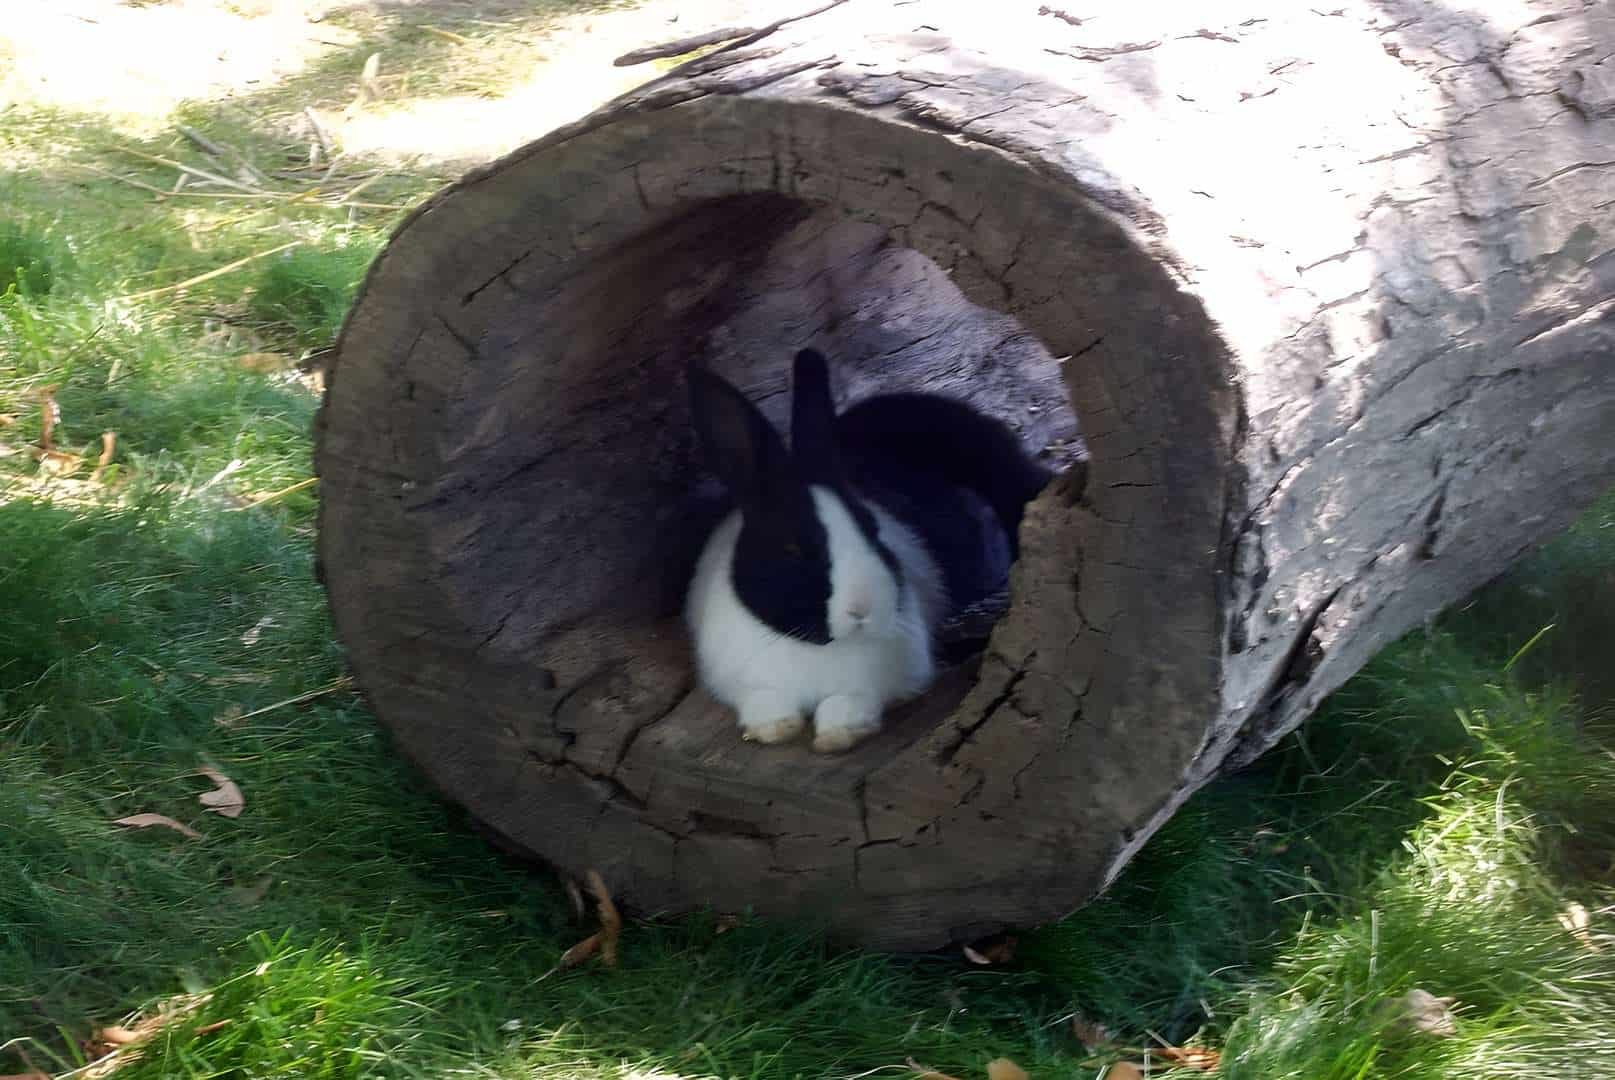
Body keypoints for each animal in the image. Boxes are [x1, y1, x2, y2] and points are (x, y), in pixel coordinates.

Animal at [684, 345, 1052, 749]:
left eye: (872, 528)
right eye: (792, 548)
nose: (862, 608)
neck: (817, 648)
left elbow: (851, 699)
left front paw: (838, 734)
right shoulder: (745, 682)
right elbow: (764, 699)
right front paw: (776, 728)